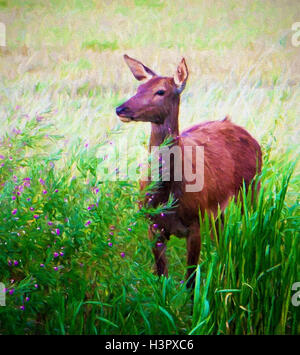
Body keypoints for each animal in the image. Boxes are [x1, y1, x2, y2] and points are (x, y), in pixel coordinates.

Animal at [116, 55, 262, 290]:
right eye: (139, 88)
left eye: (160, 91)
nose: (121, 109)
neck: (168, 194)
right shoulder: (152, 225)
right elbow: (162, 278)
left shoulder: (195, 223)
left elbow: (190, 281)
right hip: (218, 209)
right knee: (222, 239)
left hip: (251, 187)